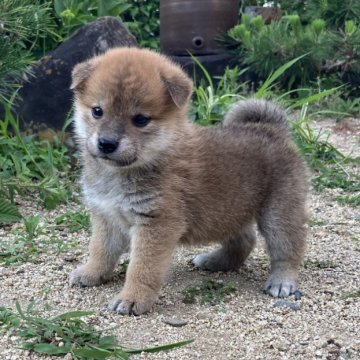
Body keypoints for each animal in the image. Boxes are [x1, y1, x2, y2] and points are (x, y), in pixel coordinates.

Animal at [69, 47, 308, 316]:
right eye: (97, 111)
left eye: (140, 119)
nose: (107, 143)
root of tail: (271, 130)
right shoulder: (106, 216)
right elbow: (101, 251)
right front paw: (91, 273)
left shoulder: (156, 224)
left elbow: (141, 268)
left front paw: (132, 298)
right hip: (230, 208)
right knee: (245, 240)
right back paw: (216, 261)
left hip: (278, 215)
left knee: (288, 250)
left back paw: (282, 281)